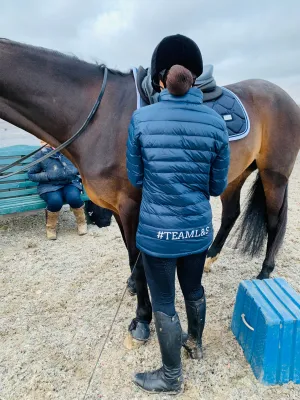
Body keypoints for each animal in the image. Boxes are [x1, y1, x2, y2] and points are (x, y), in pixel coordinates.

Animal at [0, 39, 300, 346]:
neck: (100, 119)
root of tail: (282, 94)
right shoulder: (118, 209)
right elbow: (132, 257)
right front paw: (134, 289)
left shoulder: (131, 206)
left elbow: (138, 260)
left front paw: (142, 319)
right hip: (234, 174)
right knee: (231, 213)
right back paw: (209, 258)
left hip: (274, 175)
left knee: (274, 221)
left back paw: (264, 275)